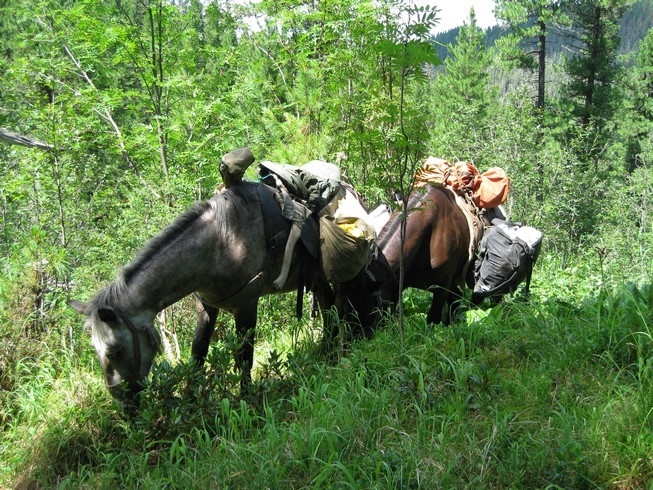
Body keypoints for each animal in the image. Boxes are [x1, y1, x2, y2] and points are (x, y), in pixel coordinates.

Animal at [69, 180, 372, 410]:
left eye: (114, 351)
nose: (126, 406)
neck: (221, 243)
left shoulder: (246, 306)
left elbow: (245, 357)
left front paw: (247, 400)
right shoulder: (207, 307)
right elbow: (198, 353)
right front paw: (191, 398)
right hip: (317, 279)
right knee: (329, 308)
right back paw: (327, 352)